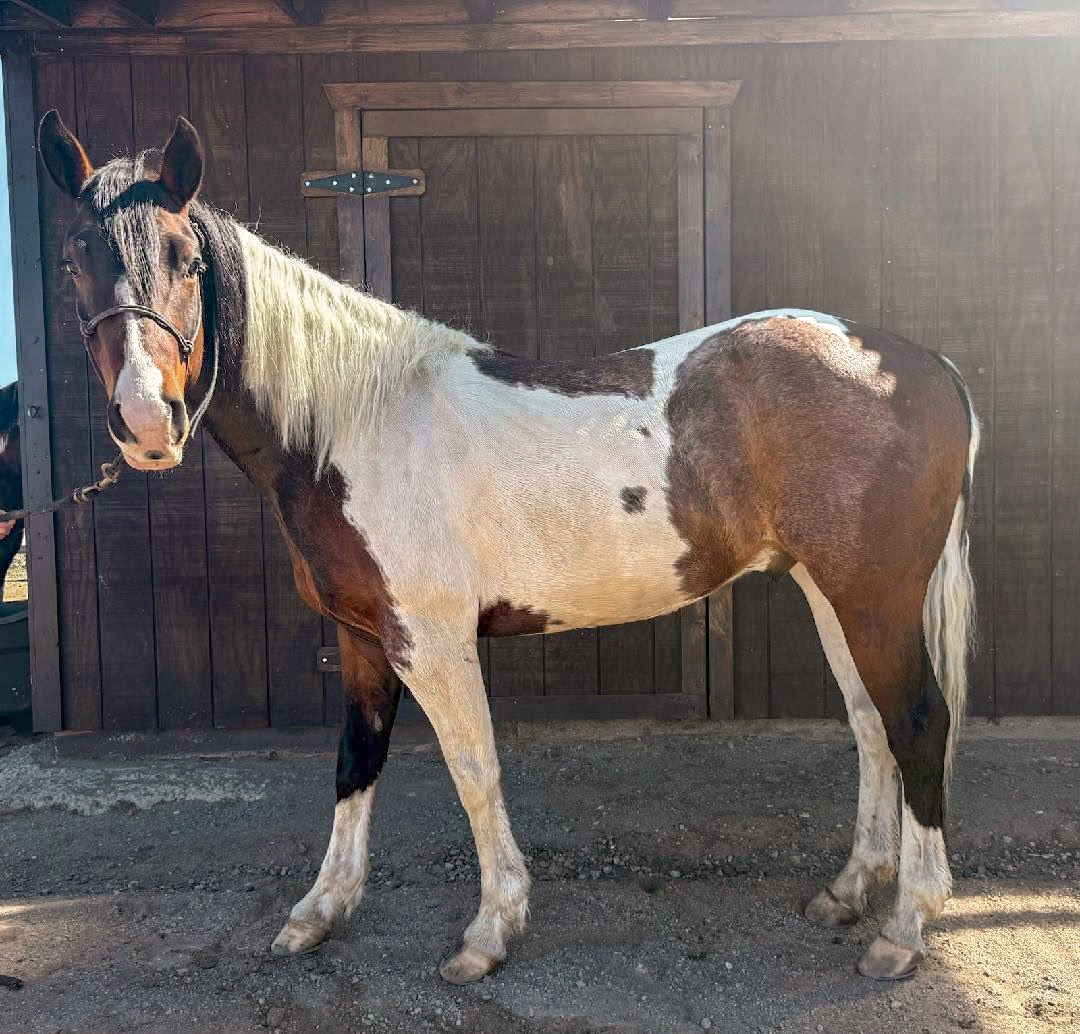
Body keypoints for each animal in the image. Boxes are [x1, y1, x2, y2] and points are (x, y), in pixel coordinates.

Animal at [37, 109, 978, 984]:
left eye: (186, 259)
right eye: (73, 257)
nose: (147, 420)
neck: (353, 427)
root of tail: (921, 363)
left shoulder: (431, 639)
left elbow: (474, 769)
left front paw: (490, 931)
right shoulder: (361, 636)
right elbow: (356, 760)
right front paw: (319, 911)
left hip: (873, 595)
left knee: (917, 721)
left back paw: (905, 926)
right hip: (831, 589)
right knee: (869, 721)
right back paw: (850, 890)